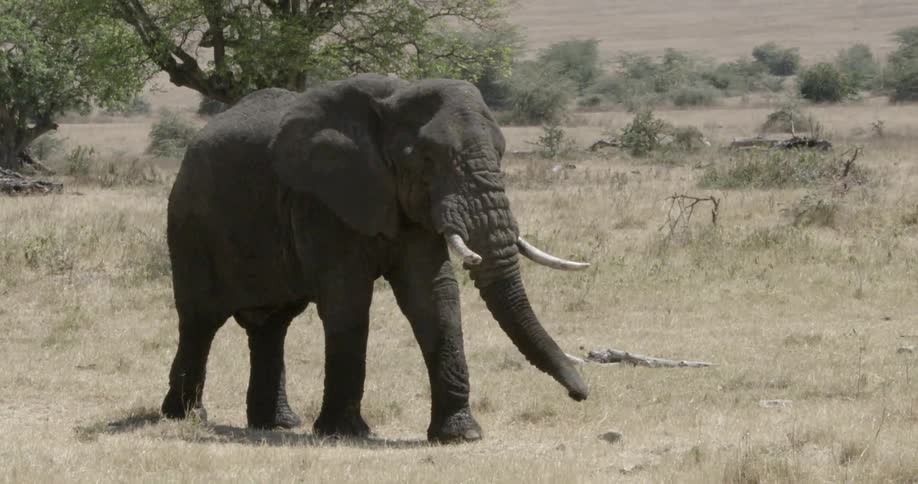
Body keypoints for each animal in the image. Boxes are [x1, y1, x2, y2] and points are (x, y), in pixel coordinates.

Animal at [160, 74, 591, 442]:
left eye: (501, 153)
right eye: (428, 159)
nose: (582, 394)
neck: (394, 98)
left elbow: (433, 295)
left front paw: (460, 435)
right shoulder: (322, 199)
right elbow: (347, 298)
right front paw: (345, 433)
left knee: (273, 324)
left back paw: (277, 423)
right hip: (190, 224)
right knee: (200, 320)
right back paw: (184, 416)